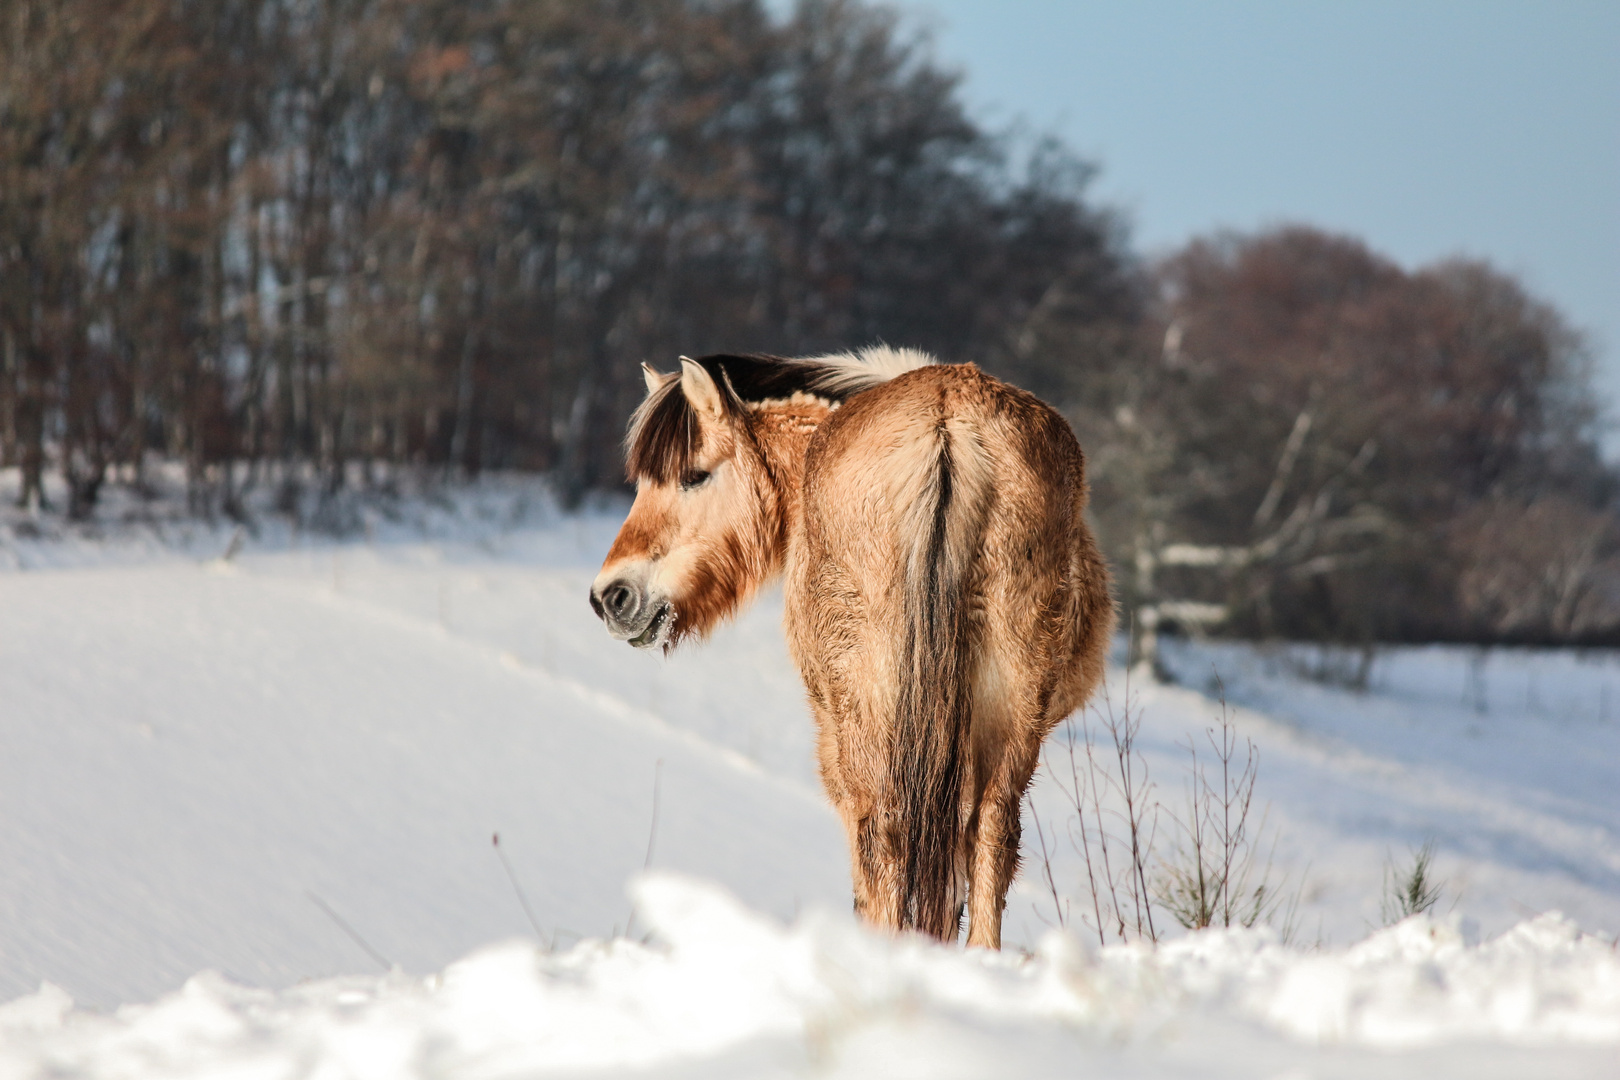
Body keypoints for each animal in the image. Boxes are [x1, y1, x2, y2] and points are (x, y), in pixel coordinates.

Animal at [592, 346, 1114, 945]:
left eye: (694, 475)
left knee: (883, 834)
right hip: (1011, 708)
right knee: (991, 832)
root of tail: (947, 429)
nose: (611, 595)